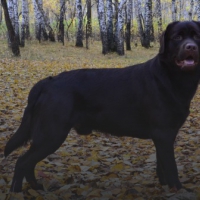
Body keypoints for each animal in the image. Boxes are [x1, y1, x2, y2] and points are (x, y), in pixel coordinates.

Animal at [4, 21, 200, 193]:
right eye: (177, 37)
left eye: (196, 36)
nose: (191, 47)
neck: (171, 77)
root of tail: (47, 82)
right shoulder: (163, 134)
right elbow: (171, 167)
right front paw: (179, 190)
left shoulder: (162, 136)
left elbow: (162, 166)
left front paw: (166, 188)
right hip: (51, 134)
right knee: (22, 161)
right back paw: (17, 191)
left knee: (28, 163)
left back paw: (36, 188)